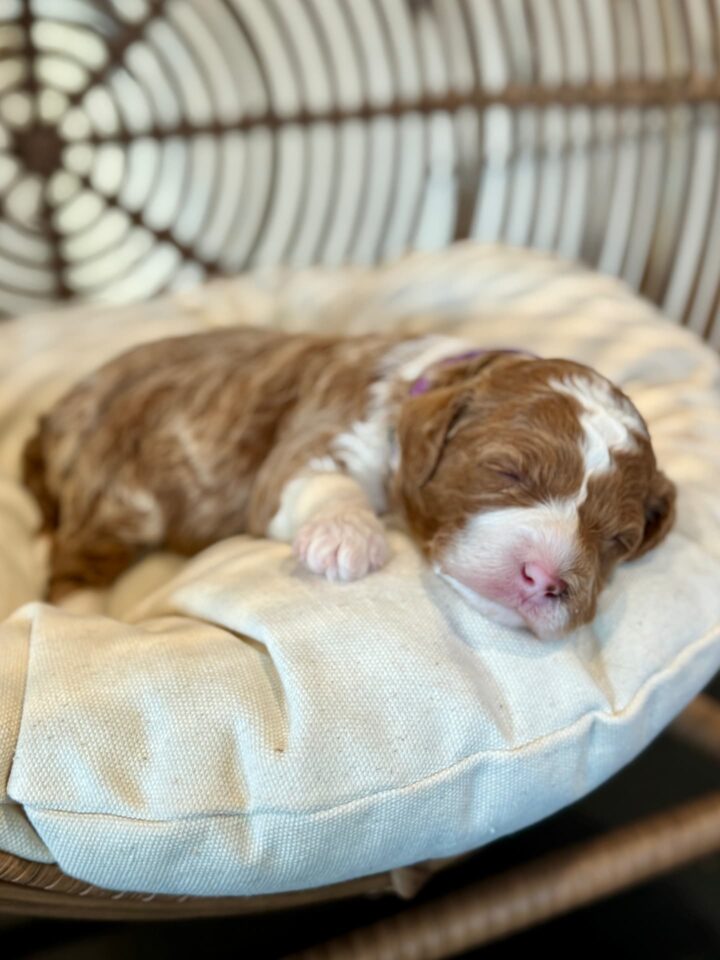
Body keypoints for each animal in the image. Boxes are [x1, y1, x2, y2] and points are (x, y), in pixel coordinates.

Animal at [22, 328, 676, 636]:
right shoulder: (322, 427)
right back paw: (81, 612)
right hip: (116, 485)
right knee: (75, 559)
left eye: (617, 540)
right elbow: (319, 479)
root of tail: (54, 418)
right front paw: (345, 539)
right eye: (506, 471)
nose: (545, 579)